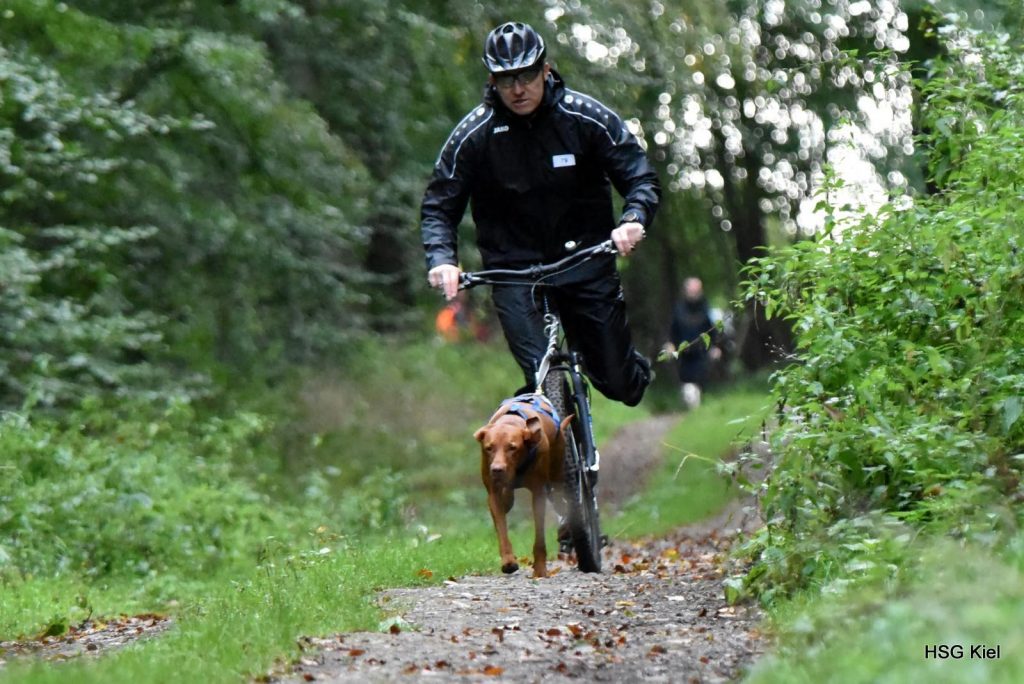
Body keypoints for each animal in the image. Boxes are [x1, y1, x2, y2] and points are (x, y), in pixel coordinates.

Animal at [475, 395, 573, 577]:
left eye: (512, 447)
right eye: (489, 448)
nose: (496, 469)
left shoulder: (538, 493)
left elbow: (540, 538)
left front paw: (540, 569)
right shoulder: (494, 495)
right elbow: (502, 531)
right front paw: (508, 561)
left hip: (557, 474)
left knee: (561, 501)